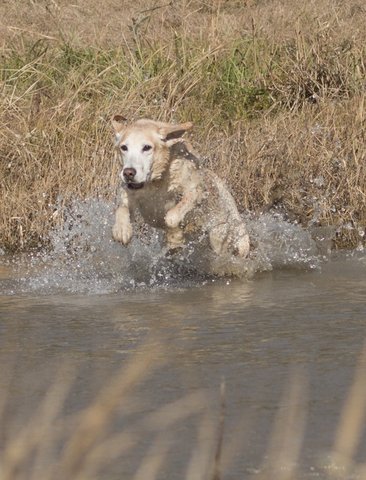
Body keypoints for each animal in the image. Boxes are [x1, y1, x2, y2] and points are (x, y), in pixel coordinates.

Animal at [111, 117, 249, 264]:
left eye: (147, 147)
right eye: (124, 147)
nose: (128, 173)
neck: (156, 182)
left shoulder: (195, 192)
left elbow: (171, 217)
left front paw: (175, 237)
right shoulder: (129, 195)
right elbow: (121, 209)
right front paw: (121, 230)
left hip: (219, 236)